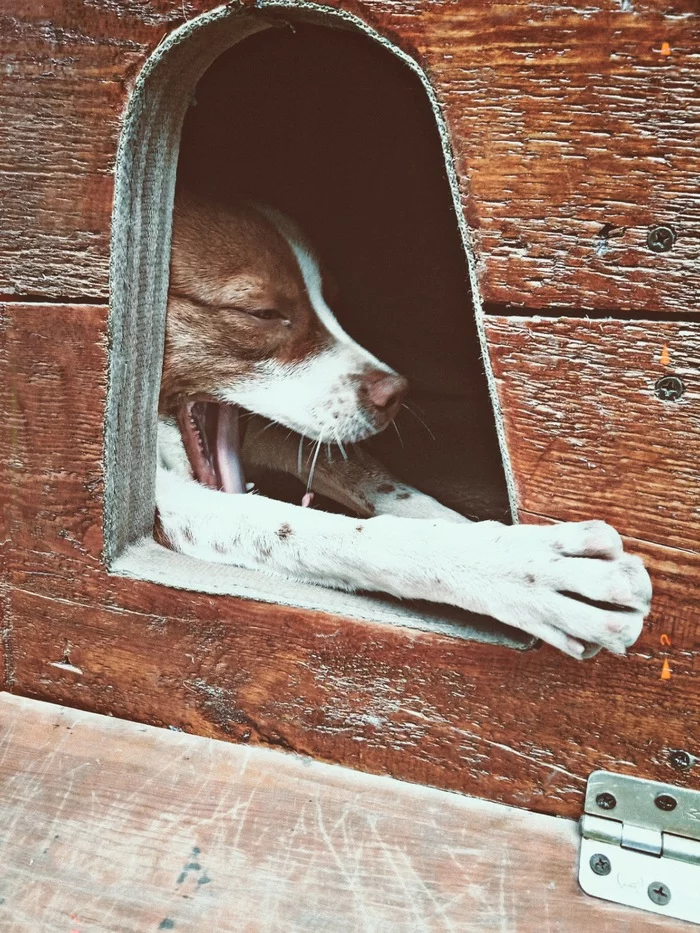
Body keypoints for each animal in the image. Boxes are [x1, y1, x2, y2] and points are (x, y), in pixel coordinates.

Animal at [156, 191, 652, 656]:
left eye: (331, 303)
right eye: (261, 313)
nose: (393, 396)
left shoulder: (287, 432)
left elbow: (386, 487)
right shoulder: (165, 505)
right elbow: (304, 528)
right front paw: (517, 569)